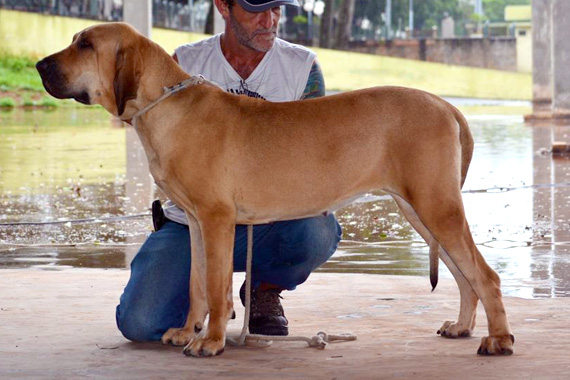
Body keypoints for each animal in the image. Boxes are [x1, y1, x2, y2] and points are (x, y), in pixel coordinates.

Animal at [37, 23, 512, 356]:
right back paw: (462, 326)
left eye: (85, 44)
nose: (40, 66)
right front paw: (186, 331)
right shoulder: (194, 222)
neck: (168, 105)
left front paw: (210, 342)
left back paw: (498, 340)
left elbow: (216, 287)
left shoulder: (216, 219)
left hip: (436, 206)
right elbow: (196, 284)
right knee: (465, 275)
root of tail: (446, 104)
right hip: (419, 209)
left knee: (485, 276)